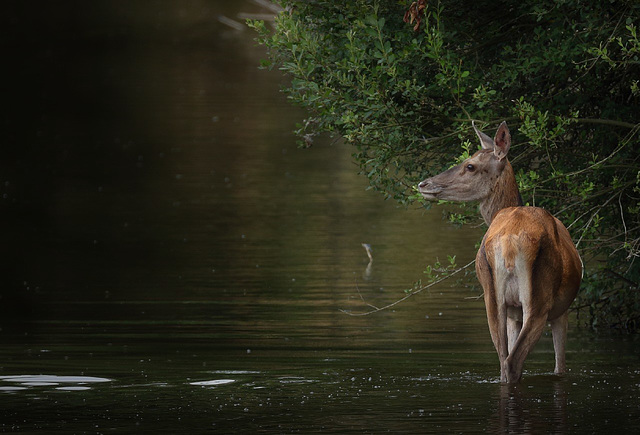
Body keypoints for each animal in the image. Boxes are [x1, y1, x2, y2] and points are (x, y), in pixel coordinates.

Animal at [418, 121, 584, 384]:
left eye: (470, 165)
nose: (423, 184)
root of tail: (509, 241)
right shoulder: (561, 310)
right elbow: (560, 367)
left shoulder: (515, 314)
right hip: (539, 300)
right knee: (513, 361)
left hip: (493, 297)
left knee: (505, 362)